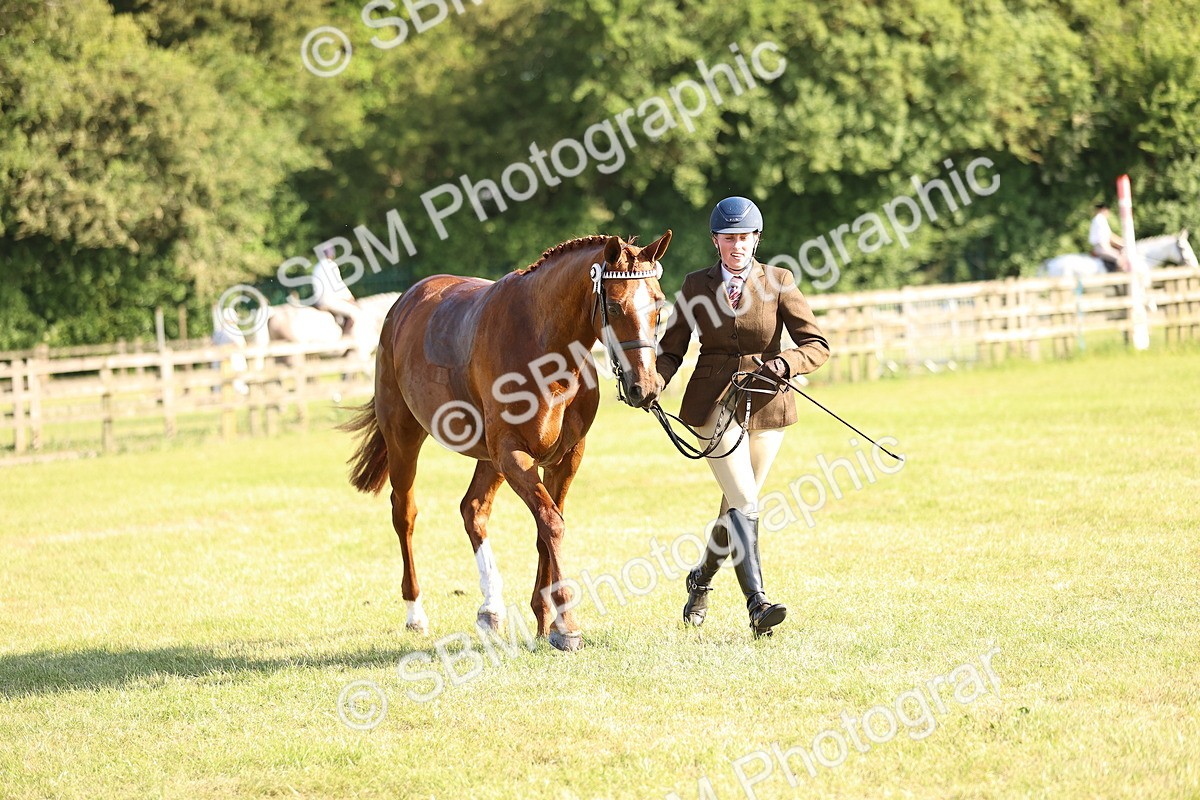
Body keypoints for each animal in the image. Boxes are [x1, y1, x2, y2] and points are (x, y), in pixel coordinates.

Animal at [341, 232, 671, 651]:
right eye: (613, 305)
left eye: (658, 305)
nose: (645, 387)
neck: (546, 348)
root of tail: (403, 302)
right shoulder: (514, 454)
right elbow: (552, 524)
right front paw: (566, 626)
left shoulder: (565, 458)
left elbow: (548, 526)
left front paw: (546, 621)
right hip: (405, 436)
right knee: (405, 514)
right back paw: (416, 613)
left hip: (488, 457)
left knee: (473, 510)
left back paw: (491, 610)